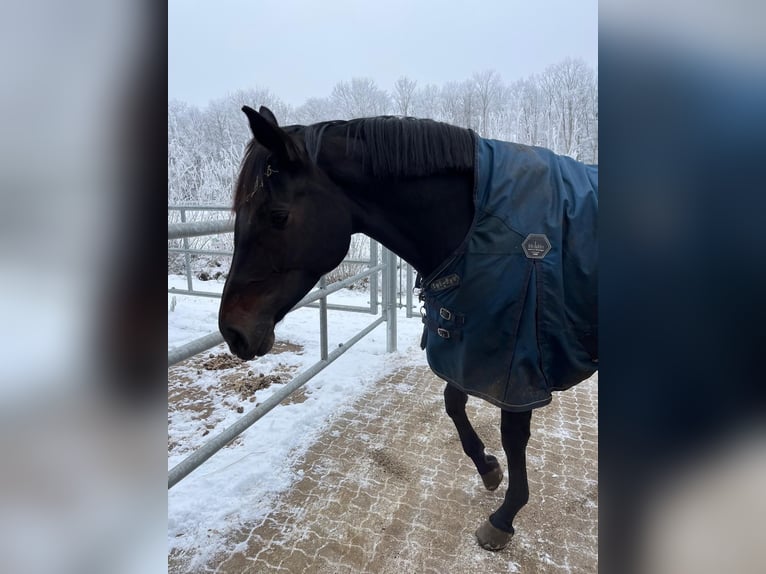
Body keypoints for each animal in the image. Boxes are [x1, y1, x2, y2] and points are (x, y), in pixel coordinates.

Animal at [218, 106, 600, 552]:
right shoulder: (467, 342)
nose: (232, 331)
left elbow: (513, 435)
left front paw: (504, 517)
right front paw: (487, 467)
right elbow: (453, 402)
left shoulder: (517, 363)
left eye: (277, 216)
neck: (476, 221)